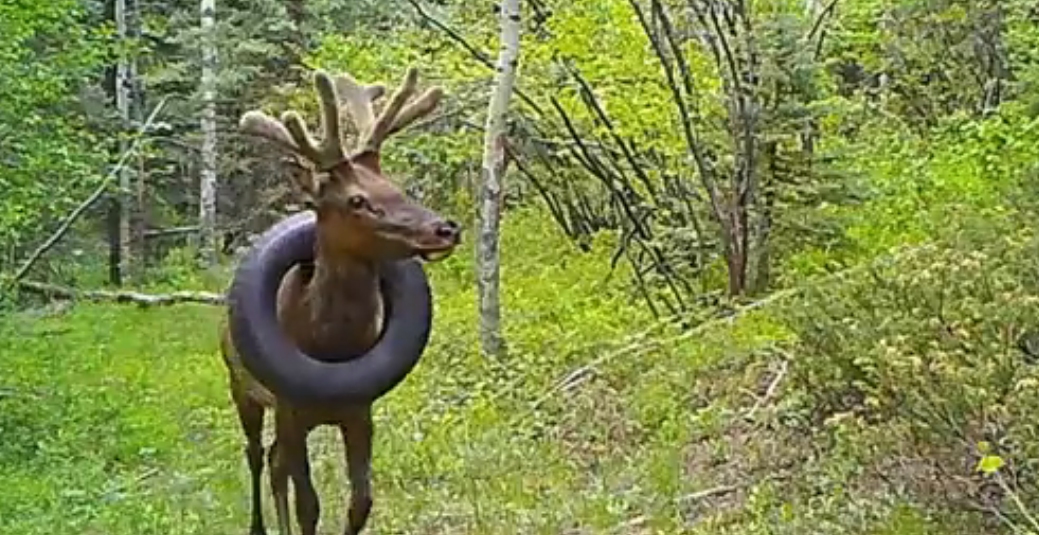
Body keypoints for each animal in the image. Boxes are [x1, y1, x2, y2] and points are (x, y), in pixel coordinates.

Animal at [218, 65, 461, 535]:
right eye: (357, 200)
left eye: (393, 185)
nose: (446, 229)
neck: (330, 345)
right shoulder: (290, 408)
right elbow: (309, 505)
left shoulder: (359, 410)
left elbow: (361, 502)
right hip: (241, 386)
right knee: (256, 454)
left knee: (274, 462)